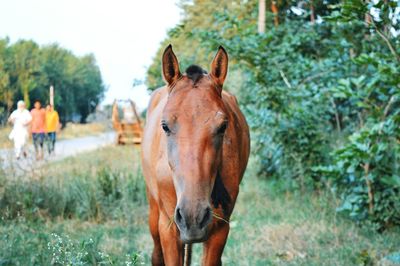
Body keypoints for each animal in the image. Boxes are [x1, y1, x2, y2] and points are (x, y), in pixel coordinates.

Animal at [141, 45, 250, 266]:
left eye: (223, 126)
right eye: (165, 126)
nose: (193, 216)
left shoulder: (220, 229)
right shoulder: (169, 228)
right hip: (154, 212)